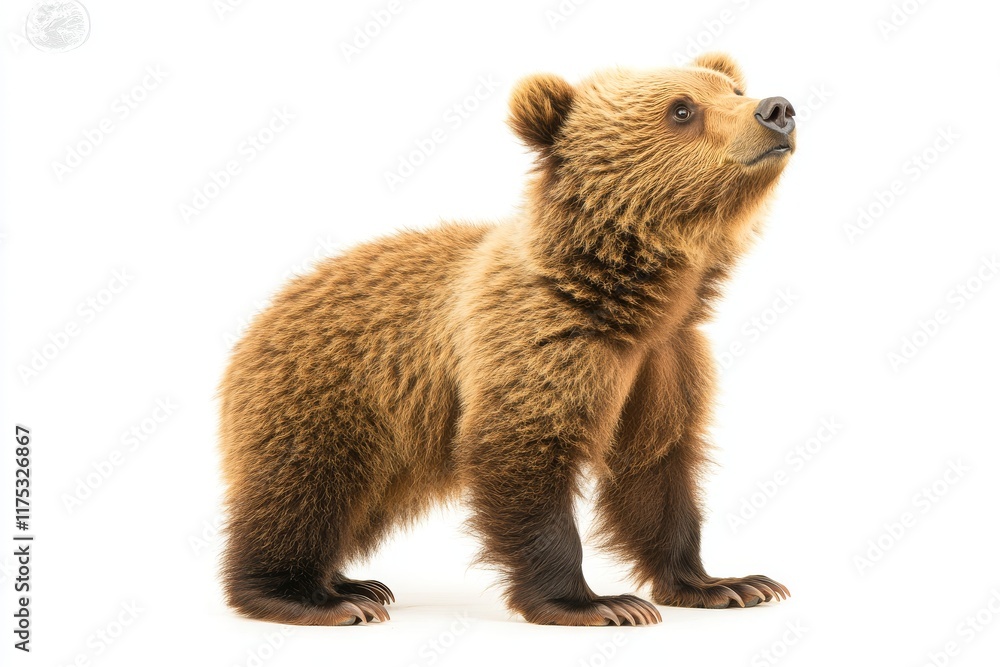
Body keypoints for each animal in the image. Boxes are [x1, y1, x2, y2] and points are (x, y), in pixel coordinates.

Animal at [219, 52, 796, 626]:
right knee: (304, 488)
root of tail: (259, 319)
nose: (776, 109)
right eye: (682, 109)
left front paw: (729, 584)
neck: (631, 301)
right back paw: (315, 597)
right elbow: (525, 452)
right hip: (329, 393)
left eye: (732, 89)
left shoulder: (667, 360)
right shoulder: (540, 340)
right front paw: (596, 603)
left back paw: (355, 582)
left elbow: (656, 469)